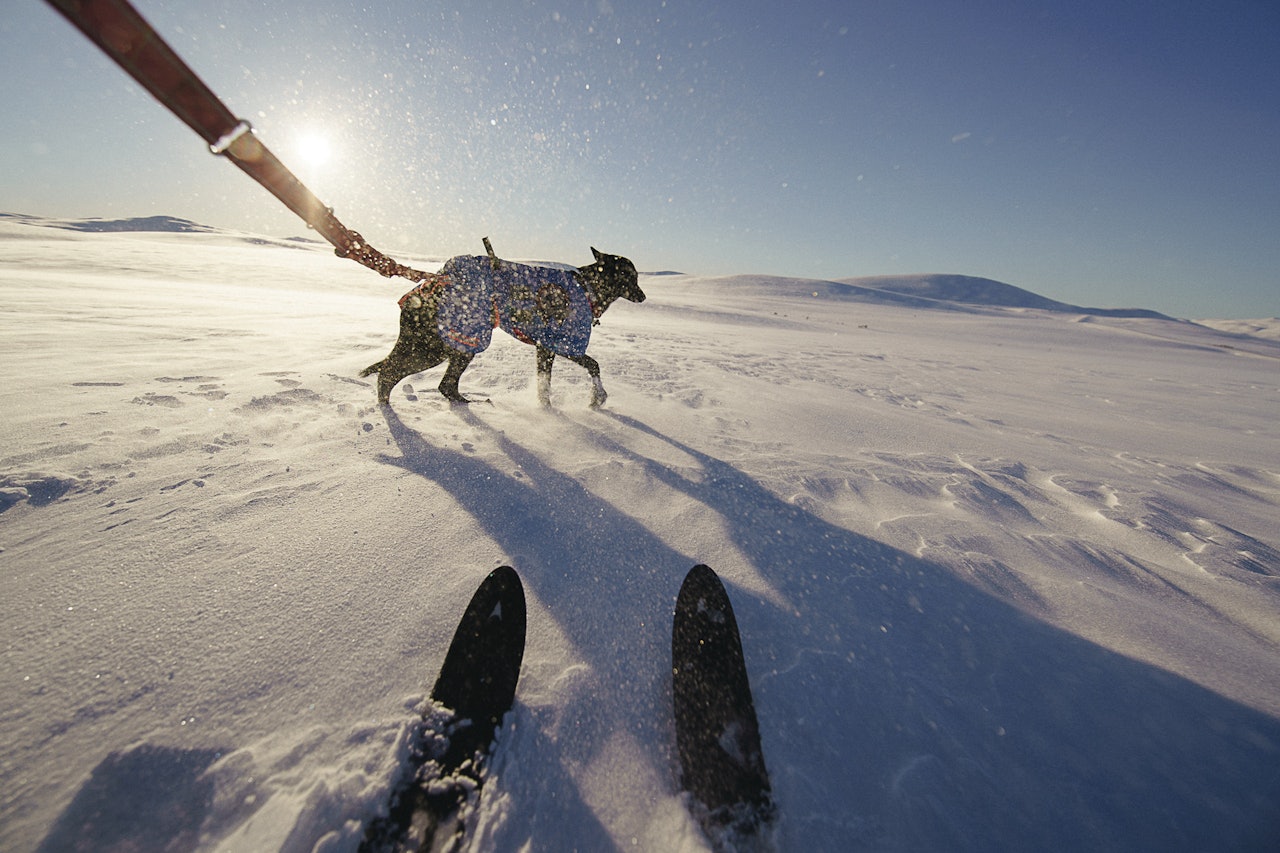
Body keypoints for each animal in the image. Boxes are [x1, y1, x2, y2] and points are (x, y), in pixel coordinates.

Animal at [360, 245, 645, 404]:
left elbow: (544, 386)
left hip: (453, 346)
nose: (642, 296)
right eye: (629, 275)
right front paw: (598, 398)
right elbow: (594, 365)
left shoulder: (545, 349)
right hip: (436, 348)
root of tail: (436, 280)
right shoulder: (564, 344)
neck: (588, 288)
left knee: (442, 385)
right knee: (389, 373)